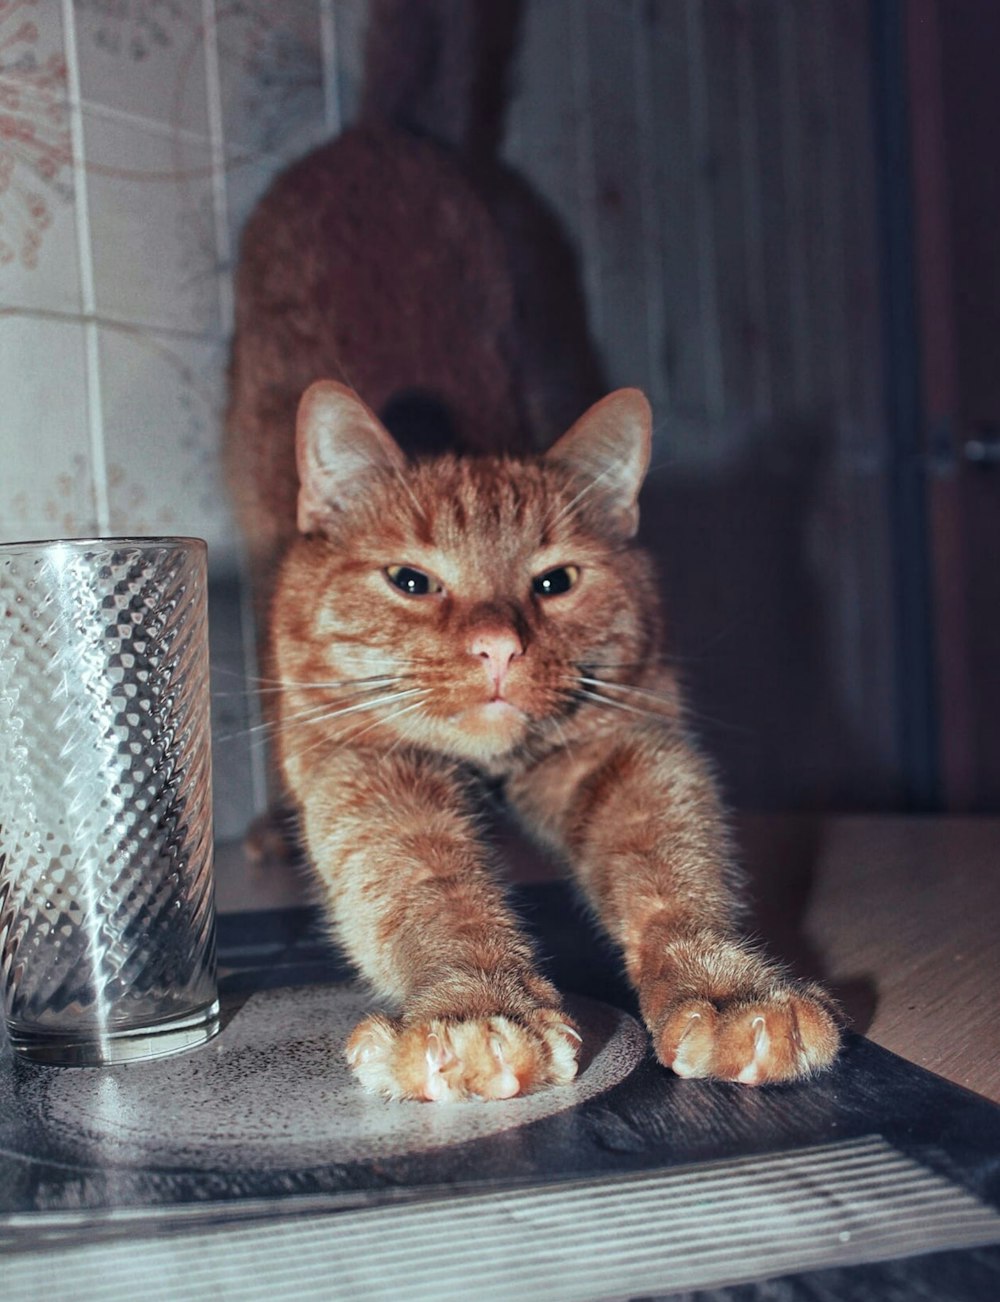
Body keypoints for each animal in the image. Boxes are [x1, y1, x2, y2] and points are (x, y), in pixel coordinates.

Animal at [269, 380, 838, 1098]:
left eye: (555, 581)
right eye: (410, 581)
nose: (498, 648)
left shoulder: (622, 754)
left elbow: (672, 876)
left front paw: (727, 988)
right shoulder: (372, 769)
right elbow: (431, 894)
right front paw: (478, 1008)